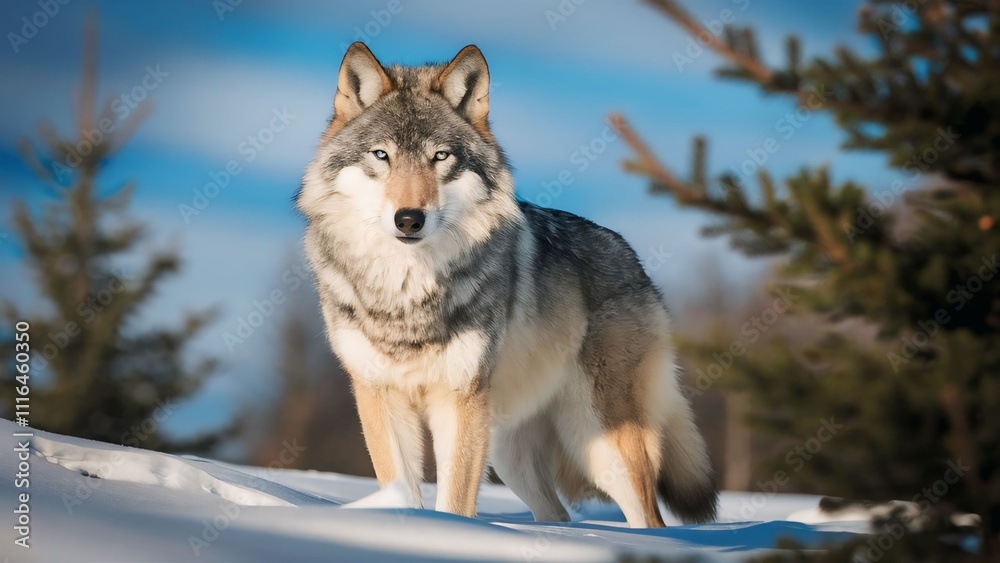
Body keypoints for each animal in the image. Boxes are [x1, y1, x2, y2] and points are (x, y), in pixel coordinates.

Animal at [297, 42, 718, 527]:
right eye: (381, 155)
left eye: (441, 156)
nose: (409, 219)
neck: (407, 292)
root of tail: (635, 263)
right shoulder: (378, 396)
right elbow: (401, 491)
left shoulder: (459, 401)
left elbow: (455, 504)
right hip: (508, 453)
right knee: (559, 514)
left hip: (600, 446)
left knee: (650, 520)